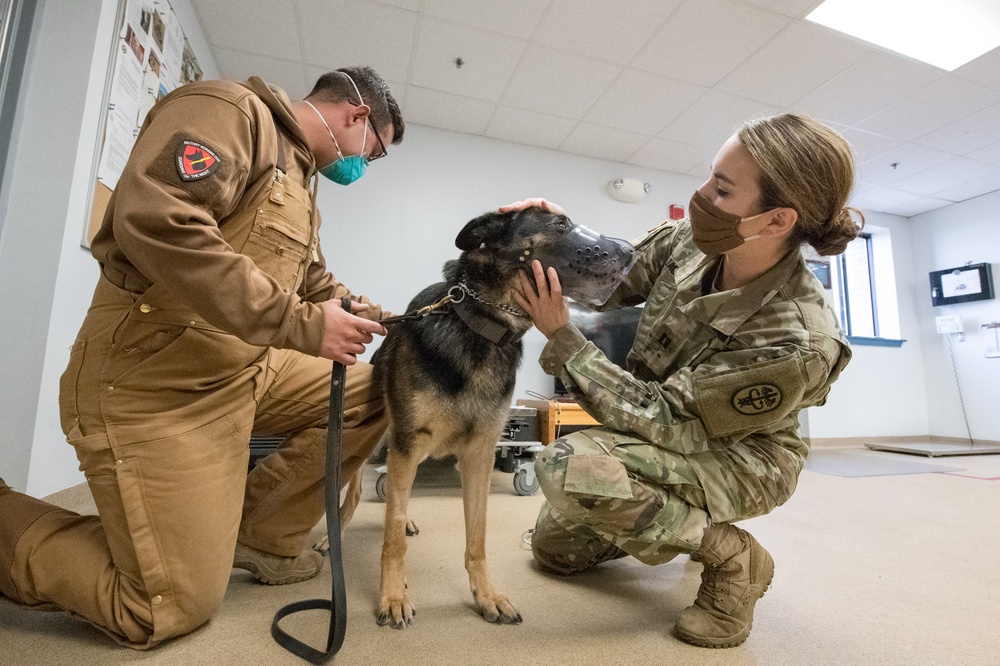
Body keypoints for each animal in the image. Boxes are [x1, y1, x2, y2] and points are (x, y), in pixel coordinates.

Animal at [372, 209, 580, 628]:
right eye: (560, 224)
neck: (479, 326)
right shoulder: (406, 447)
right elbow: (392, 537)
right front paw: (393, 595)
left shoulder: (478, 458)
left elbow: (477, 538)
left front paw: (486, 596)